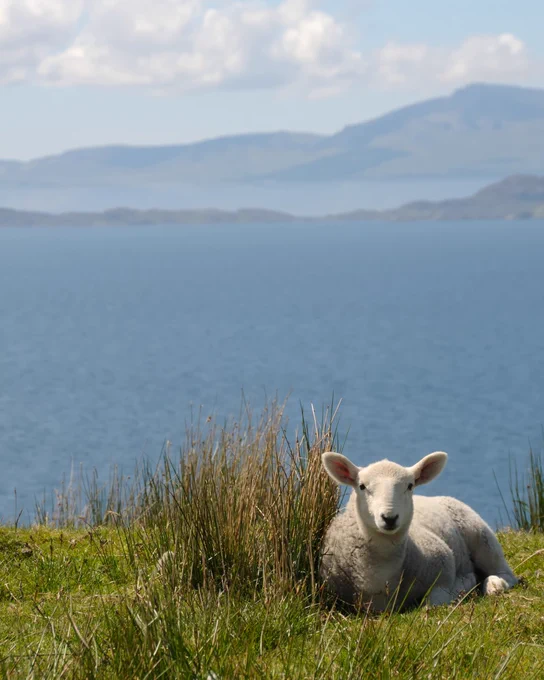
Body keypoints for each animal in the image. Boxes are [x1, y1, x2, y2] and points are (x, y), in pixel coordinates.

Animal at [320, 451, 518, 611]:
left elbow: (433, 602)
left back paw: (494, 585)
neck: (379, 571)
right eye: (362, 486)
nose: (389, 518)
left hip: (482, 538)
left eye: (410, 486)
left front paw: (464, 584)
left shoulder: (444, 568)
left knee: (506, 573)